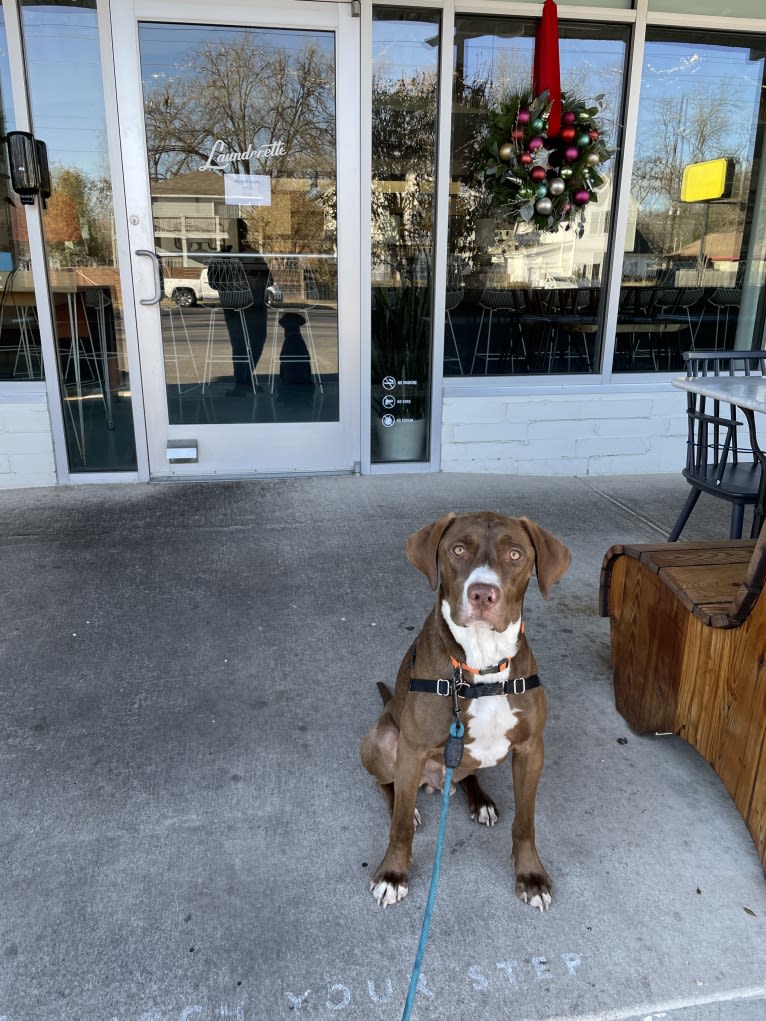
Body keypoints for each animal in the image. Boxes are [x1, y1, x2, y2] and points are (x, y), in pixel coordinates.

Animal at [359, 514, 571, 914]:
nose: (483, 594)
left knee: (467, 772)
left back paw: (480, 800)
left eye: (515, 554)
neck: (482, 661)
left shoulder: (531, 749)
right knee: (388, 786)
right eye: (458, 549)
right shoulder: (411, 749)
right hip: (382, 741)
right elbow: (400, 828)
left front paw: (531, 877)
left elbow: (525, 822)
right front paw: (393, 874)